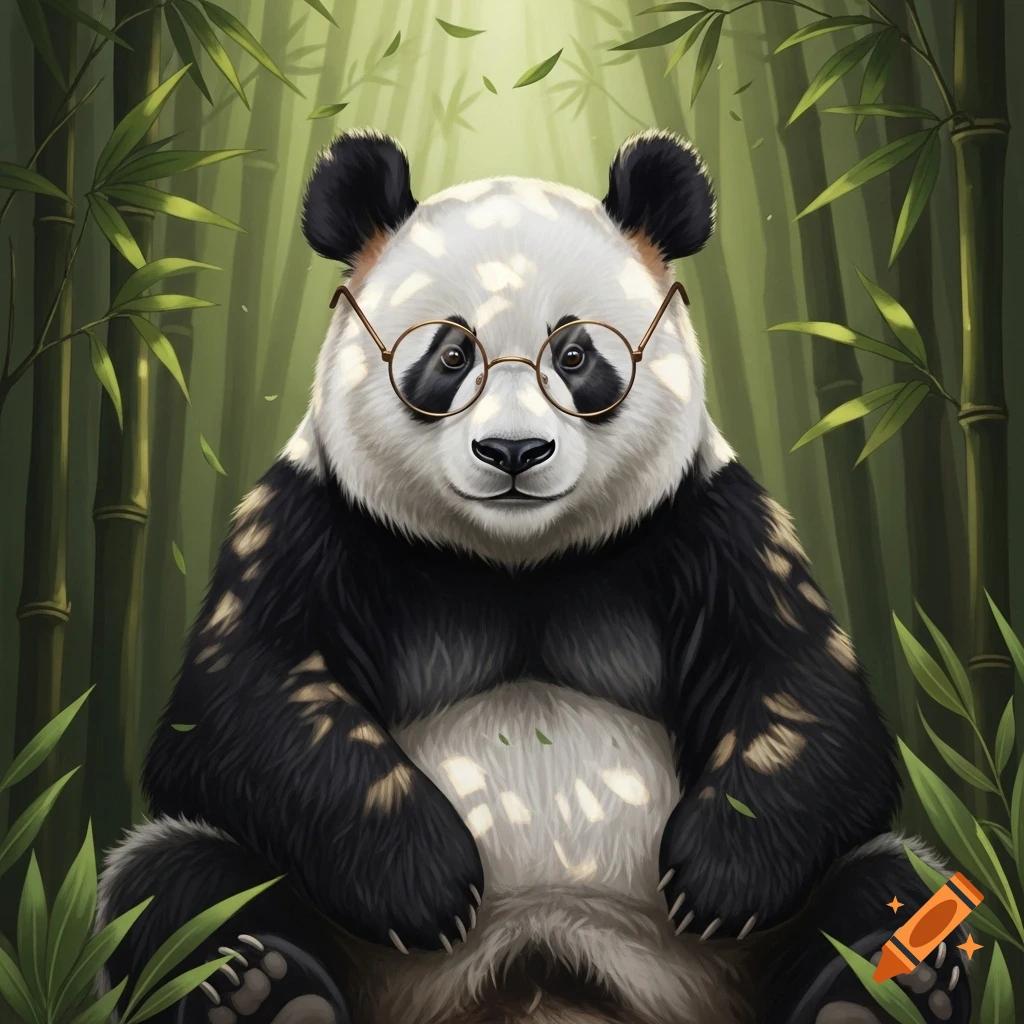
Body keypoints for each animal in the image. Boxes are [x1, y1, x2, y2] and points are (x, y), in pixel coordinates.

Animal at [95, 129, 972, 1024]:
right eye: (451, 355)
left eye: (577, 355)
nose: (513, 452)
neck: (518, 560)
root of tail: (540, 969)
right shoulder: (314, 523)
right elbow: (243, 699)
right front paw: (425, 881)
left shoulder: (710, 524)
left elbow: (803, 691)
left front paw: (720, 875)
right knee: (176, 879)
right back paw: (263, 987)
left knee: (893, 877)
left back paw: (883, 984)